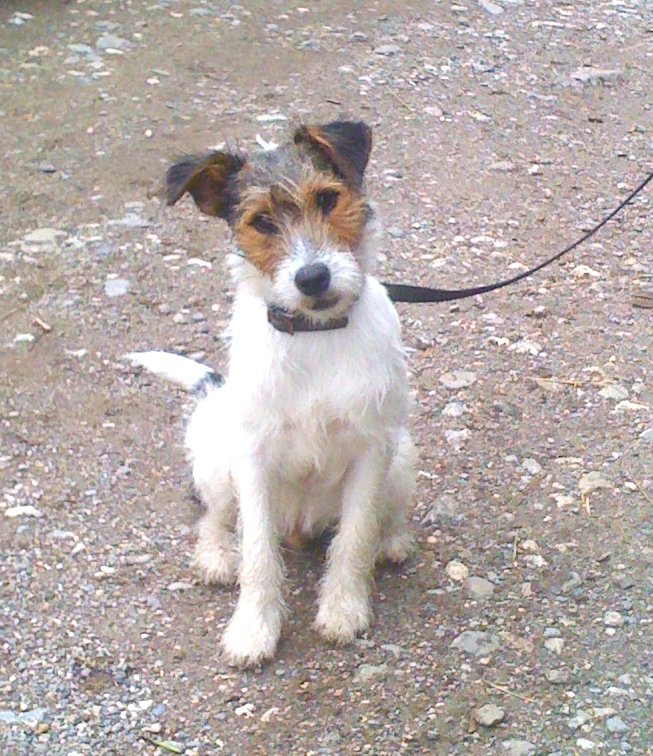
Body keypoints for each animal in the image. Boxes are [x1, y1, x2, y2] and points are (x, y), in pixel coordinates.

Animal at [128, 120, 416, 667]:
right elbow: (258, 552)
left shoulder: (371, 448)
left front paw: (343, 608)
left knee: (378, 517)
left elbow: (354, 536)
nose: (313, 277)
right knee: (215, 519)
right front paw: (253, 628)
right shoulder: (252, 458)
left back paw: (392, 539)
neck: (314, 335)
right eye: (261, 222)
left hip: (402, 455)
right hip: (218, 460)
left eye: (327, 199)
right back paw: (217, 555)